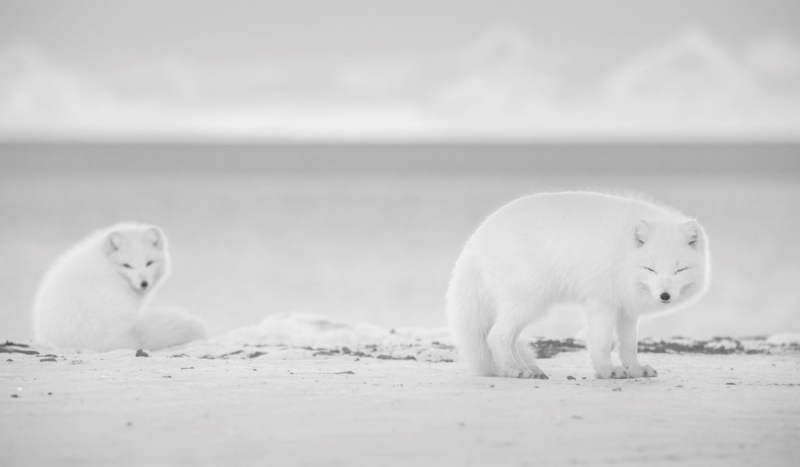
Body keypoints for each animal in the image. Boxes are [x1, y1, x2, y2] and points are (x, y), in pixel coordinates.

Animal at [444, 194, 712, 380]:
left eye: (679, 270)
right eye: (651, 269)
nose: (665, 296)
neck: (623, 256)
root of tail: (476, 239)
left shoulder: (626, 310)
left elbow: (628, 345)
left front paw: (635, 369)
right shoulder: (602, 303)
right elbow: (602, 342)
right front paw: (607, 371)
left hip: (526, 307)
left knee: (509, 338)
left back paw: (526, 368)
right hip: (529, 301)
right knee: (496, 335)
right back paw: (513, 370)